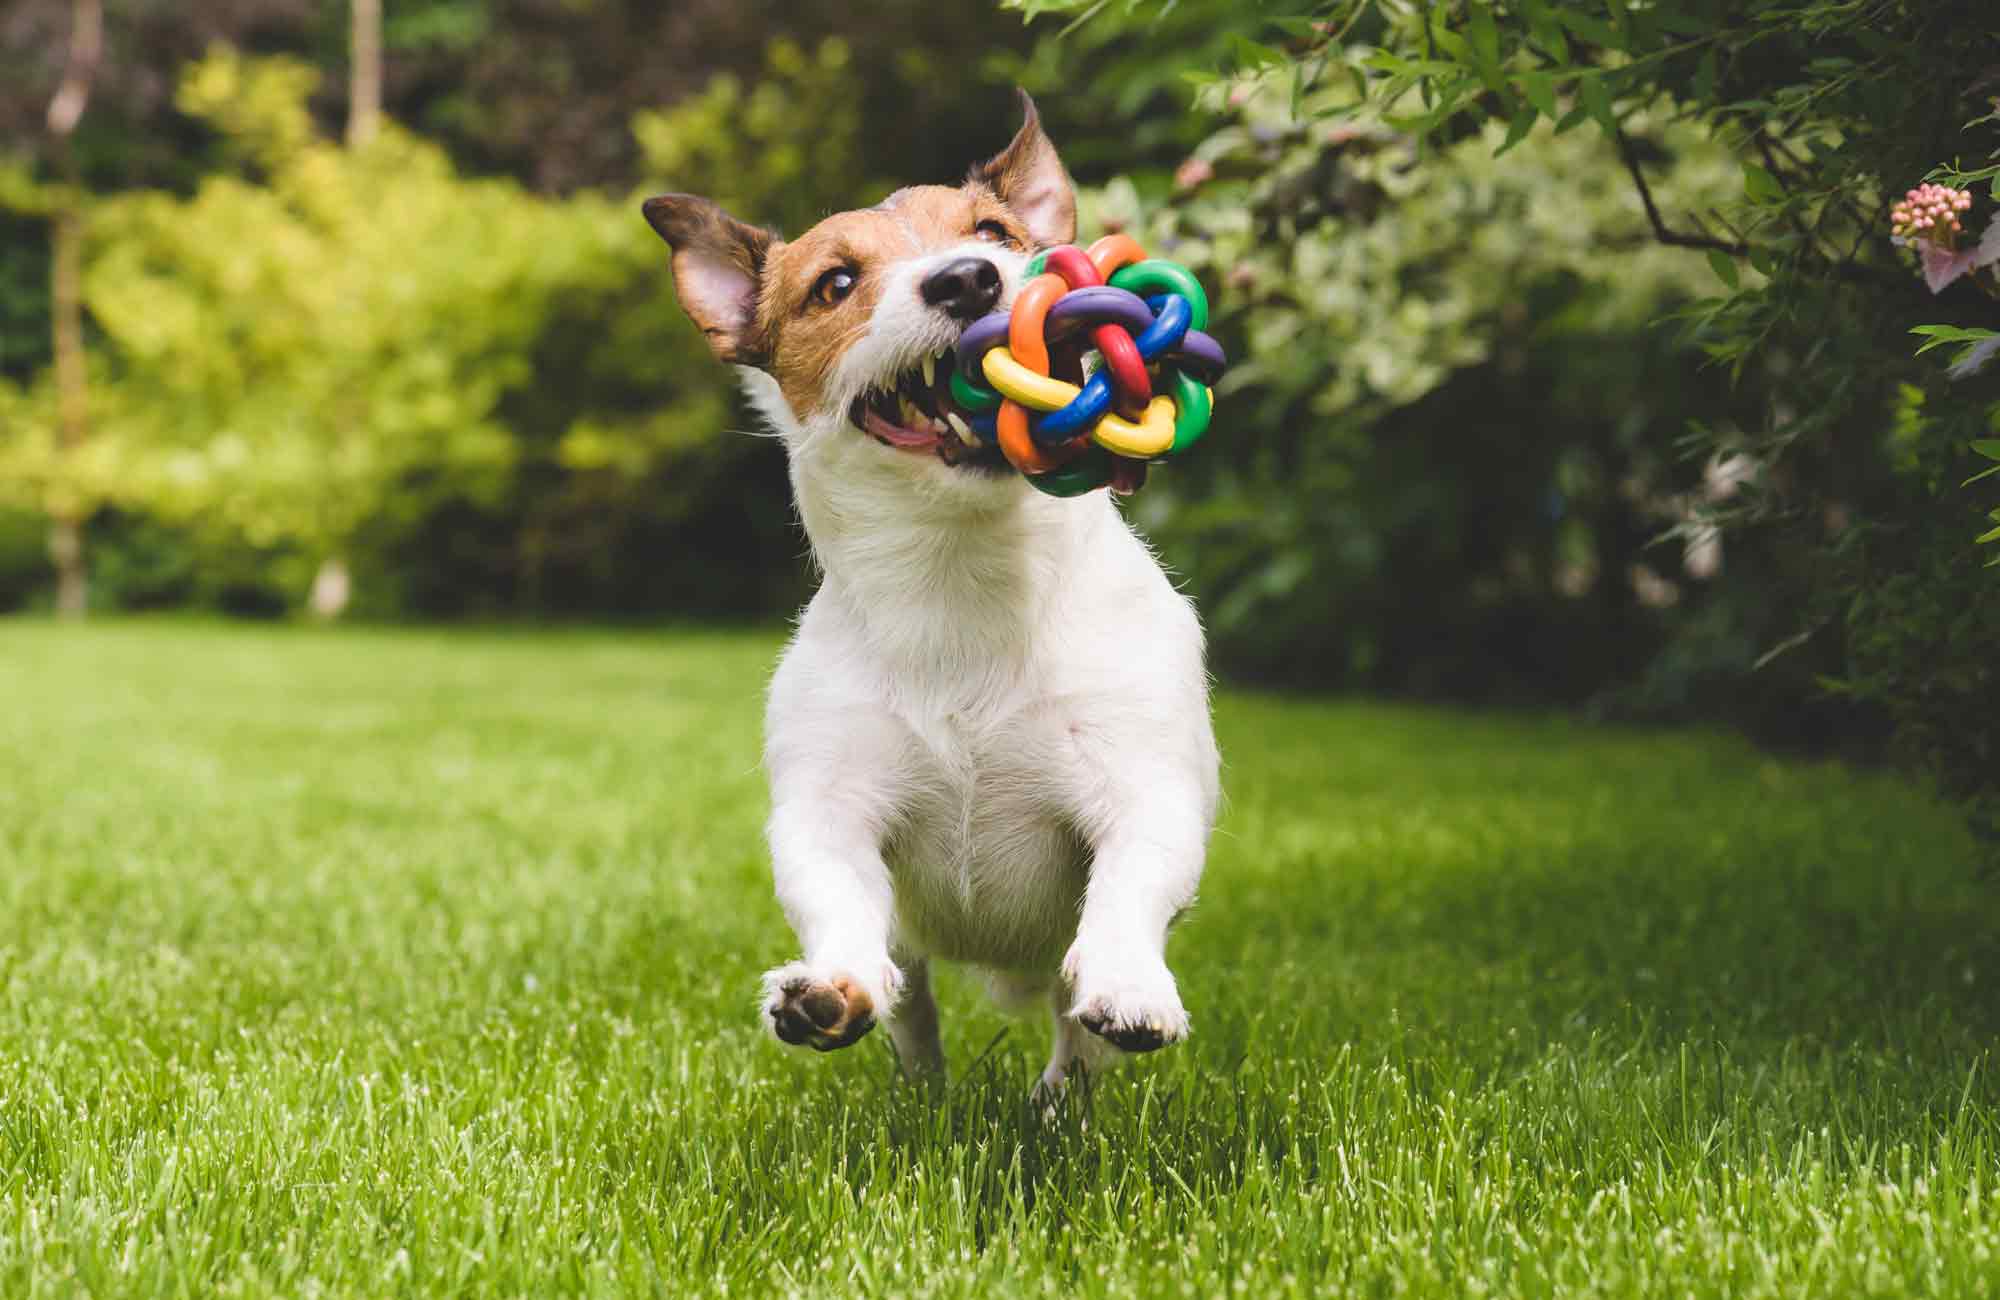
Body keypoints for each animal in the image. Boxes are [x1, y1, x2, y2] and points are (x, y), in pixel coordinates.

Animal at [644, 86, 1216, 1088]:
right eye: (834, 284)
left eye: (993, 232)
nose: (967, 281)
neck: (962, 577)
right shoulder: (829, 811)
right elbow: (836, 896)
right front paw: (830, 989)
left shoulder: (1142, 784)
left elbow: (1132, 882)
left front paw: (1130, 983)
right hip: (911, 956)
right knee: (911, 1000)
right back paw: (918, 1084)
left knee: (1070, 1034)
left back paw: (1060, 1099)